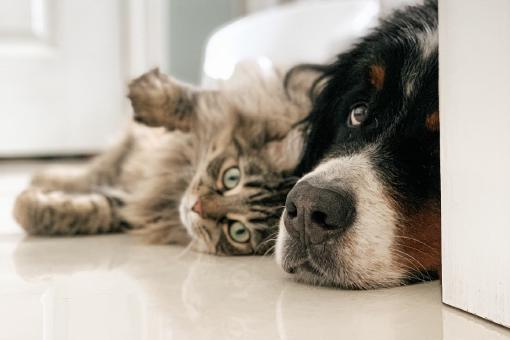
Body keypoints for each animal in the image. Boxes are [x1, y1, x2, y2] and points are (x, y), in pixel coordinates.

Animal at [13, 63, 316, 255]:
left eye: (238, 231)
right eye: (232, 177)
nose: (196, 207)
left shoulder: (135, 207)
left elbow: (93, 209)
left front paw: (26, 207)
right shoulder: (242, 104)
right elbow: (191, 102)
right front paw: (147, 92)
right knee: (93, 171)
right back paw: (44, 175)